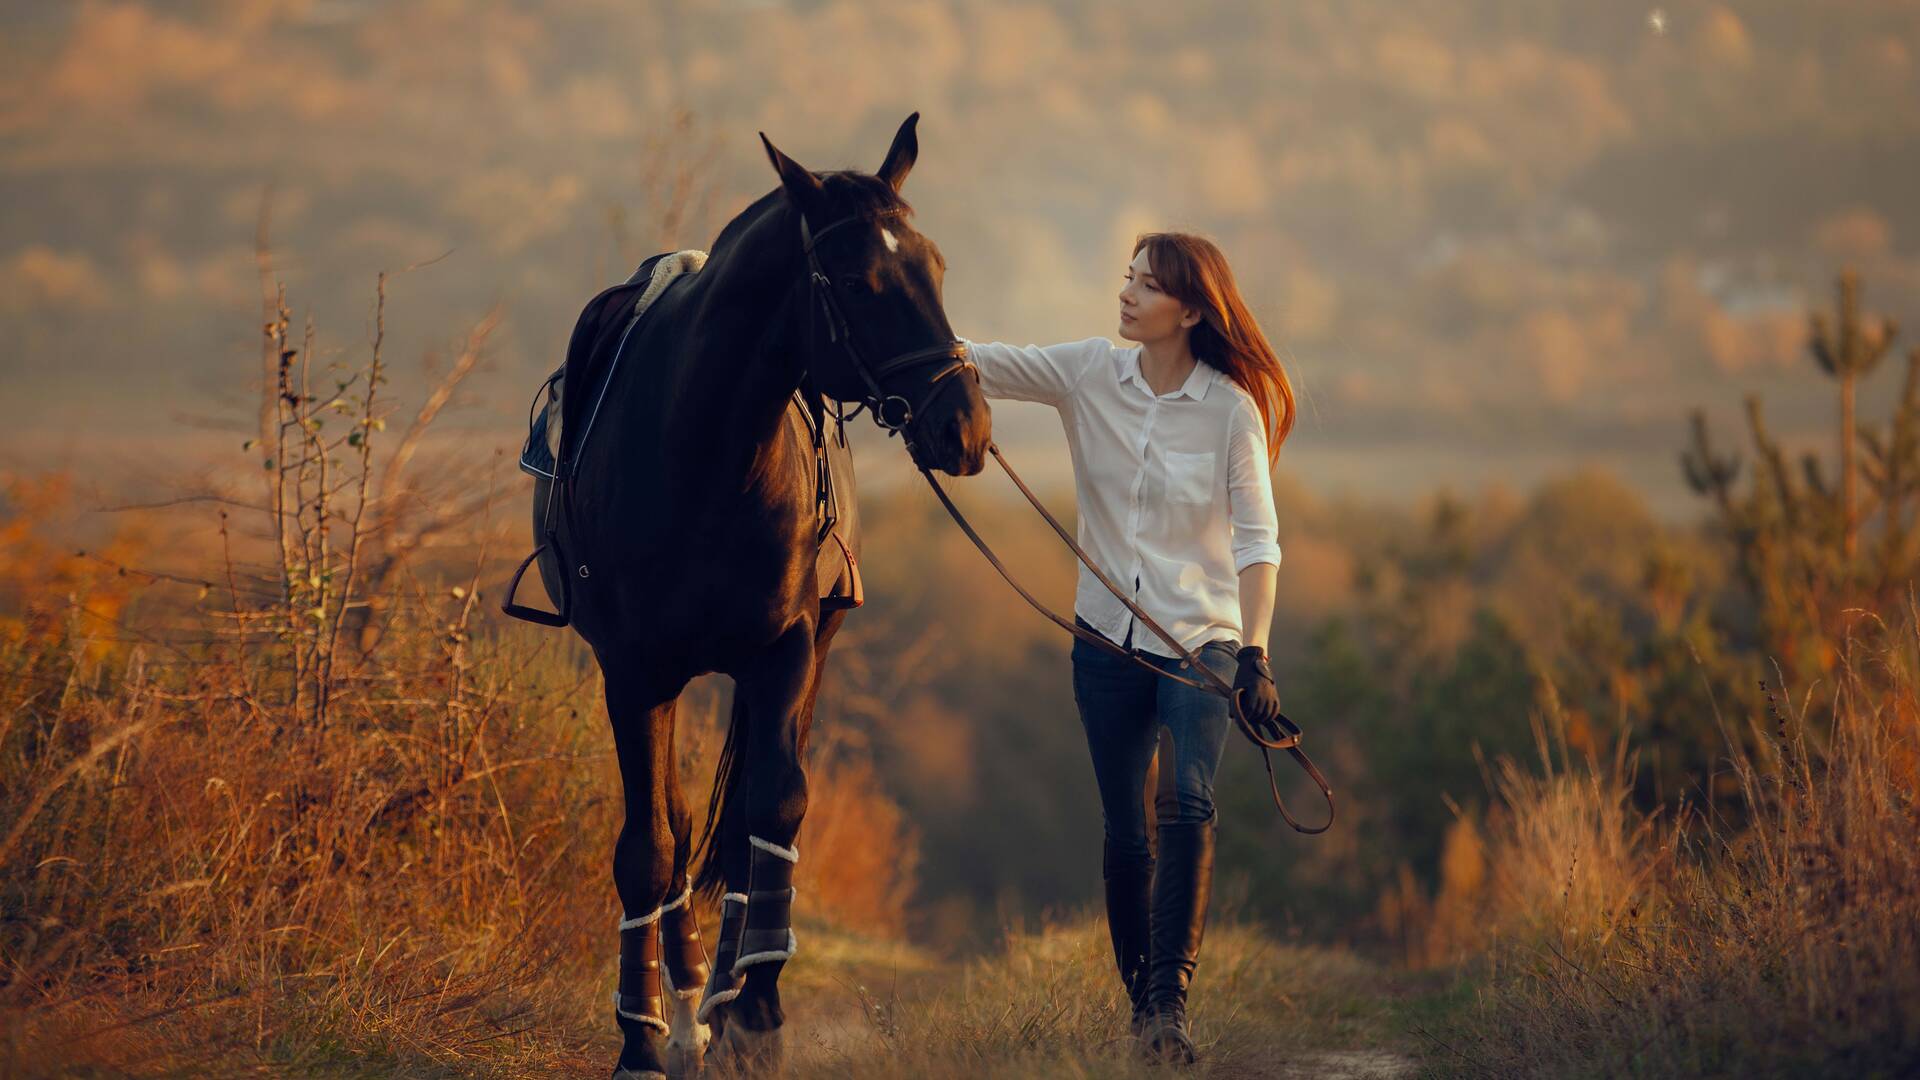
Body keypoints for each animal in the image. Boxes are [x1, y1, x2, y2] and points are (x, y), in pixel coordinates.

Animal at [529, 113, 990, 1068]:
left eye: (934, 266)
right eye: (855, 281)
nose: (963, 426)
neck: (703, 452)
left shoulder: (785, 651)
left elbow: (772, 810)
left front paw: (758, 1011)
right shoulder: (633, 671)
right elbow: (649, 846)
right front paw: (641, 1039)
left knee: (747, 820)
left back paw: (727, 991)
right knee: (675, 827)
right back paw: (690, 993)